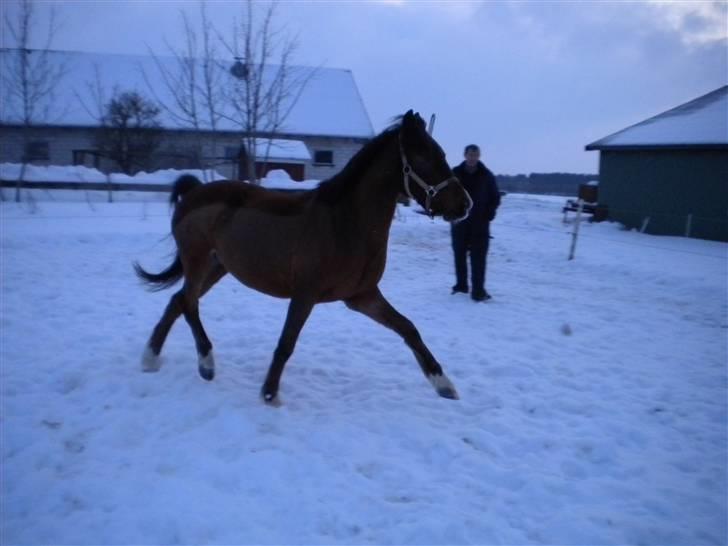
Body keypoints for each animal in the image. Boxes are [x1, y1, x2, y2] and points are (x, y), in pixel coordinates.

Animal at [135, 108, 472, 402]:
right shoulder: (305, 294)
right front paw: (269, 395)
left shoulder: (362, 295)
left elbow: (408, 328)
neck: (345, 223)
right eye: (425, 156)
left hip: (217, 267)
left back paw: (150, 359)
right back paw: (206, 364)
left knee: (178, 301)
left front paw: (445, 385)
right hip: (198, 261)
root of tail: (192, 192)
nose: (465, 205)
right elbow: (286, 343)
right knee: (189, 304)